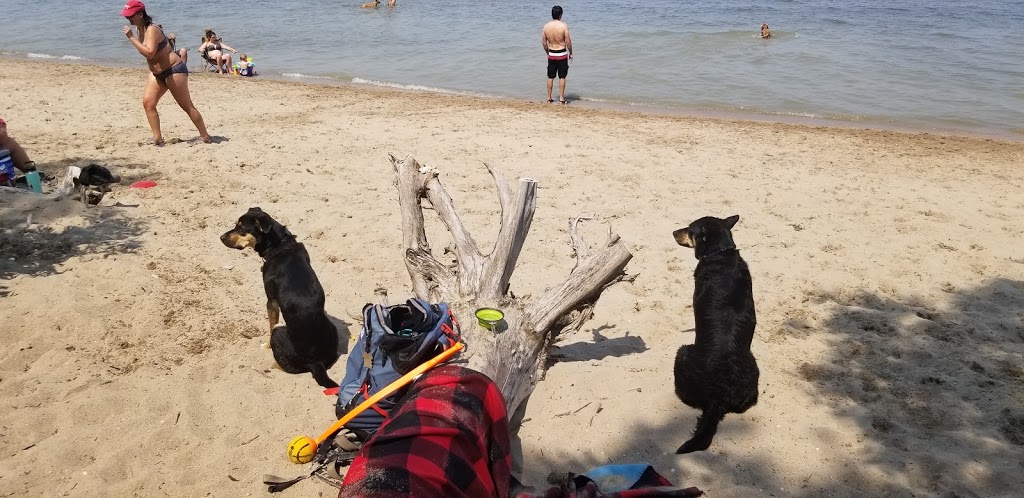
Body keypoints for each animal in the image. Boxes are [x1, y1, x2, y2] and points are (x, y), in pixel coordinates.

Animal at [220, 205, 339, 389]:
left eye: (241, 228)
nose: (220, 237)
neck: (280, 246)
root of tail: (316, 363)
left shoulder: (271, 302)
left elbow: (270, 326)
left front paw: (266, 346)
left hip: (279, 333)